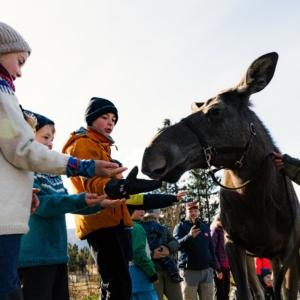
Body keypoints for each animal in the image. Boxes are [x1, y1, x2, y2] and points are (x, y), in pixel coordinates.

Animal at [141, 52, 300, 298]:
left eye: (215, 111)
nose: (150, 155)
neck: (258, 196)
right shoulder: (233, 242)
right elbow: (245, 292)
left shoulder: (289, 251)